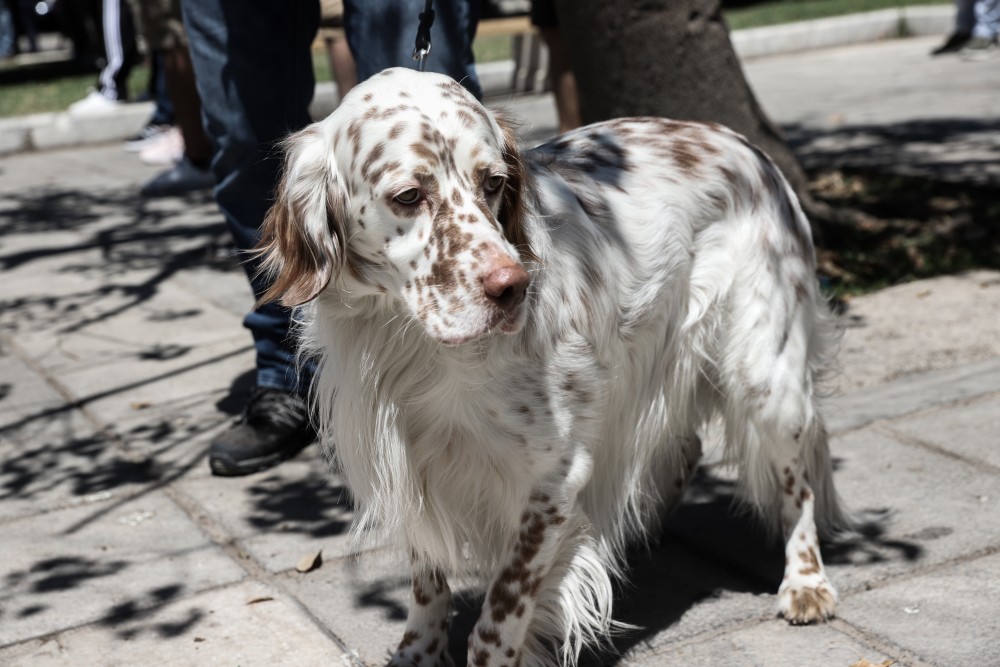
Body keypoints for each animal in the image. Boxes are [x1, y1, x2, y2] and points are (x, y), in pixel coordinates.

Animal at [256, 66, 844, 664]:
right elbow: (427, 579)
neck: (414, 344)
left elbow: (499, 617)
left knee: (798, 483)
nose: (512, 287)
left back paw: (805, 582)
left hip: (766, 376)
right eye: (408, 196)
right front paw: (417, 650)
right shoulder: (410, 463)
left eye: (493, 183)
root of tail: (749, 149)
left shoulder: (551, 479)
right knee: (684, 446)